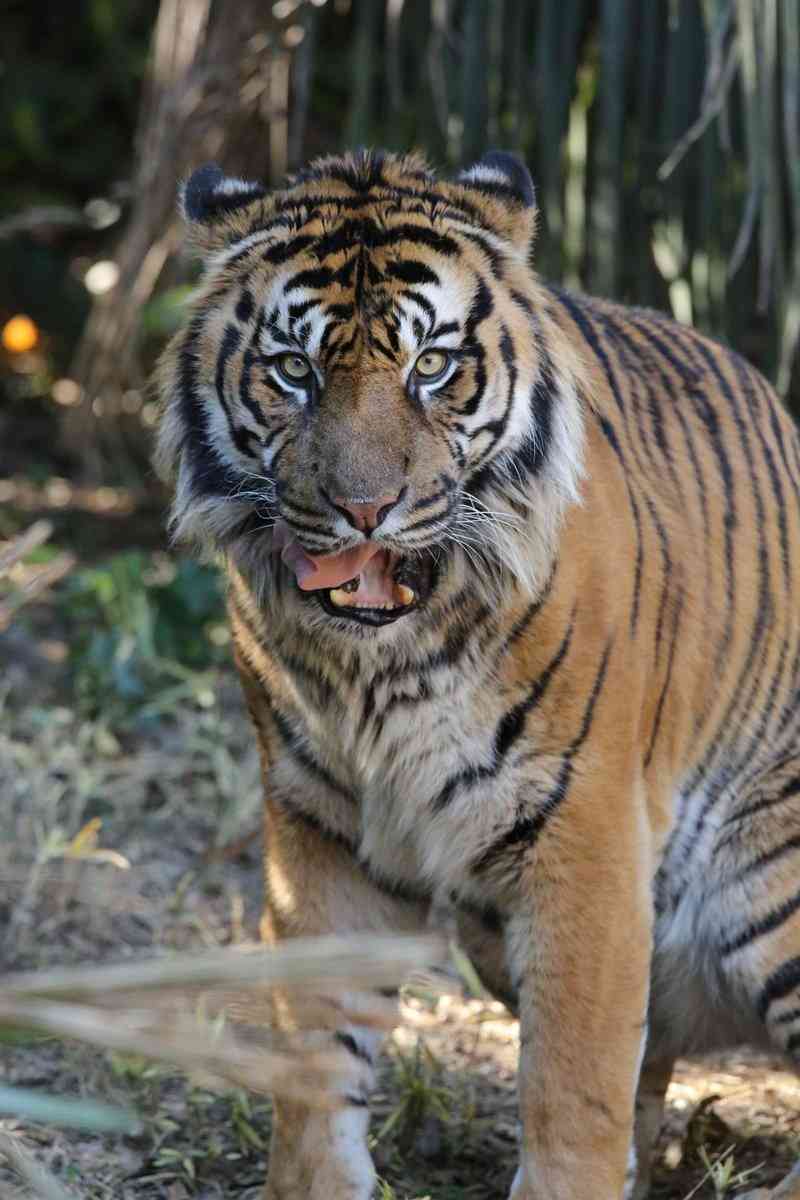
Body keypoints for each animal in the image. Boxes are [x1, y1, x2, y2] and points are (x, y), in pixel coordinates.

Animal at [154, 148, 800, 1200]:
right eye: (294, 370)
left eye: (432, 366)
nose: (363, 508)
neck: (379, 666)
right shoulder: (319, 825)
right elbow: (316, 1055)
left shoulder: (584, 834)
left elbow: (573, 1087)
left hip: (765, 891)